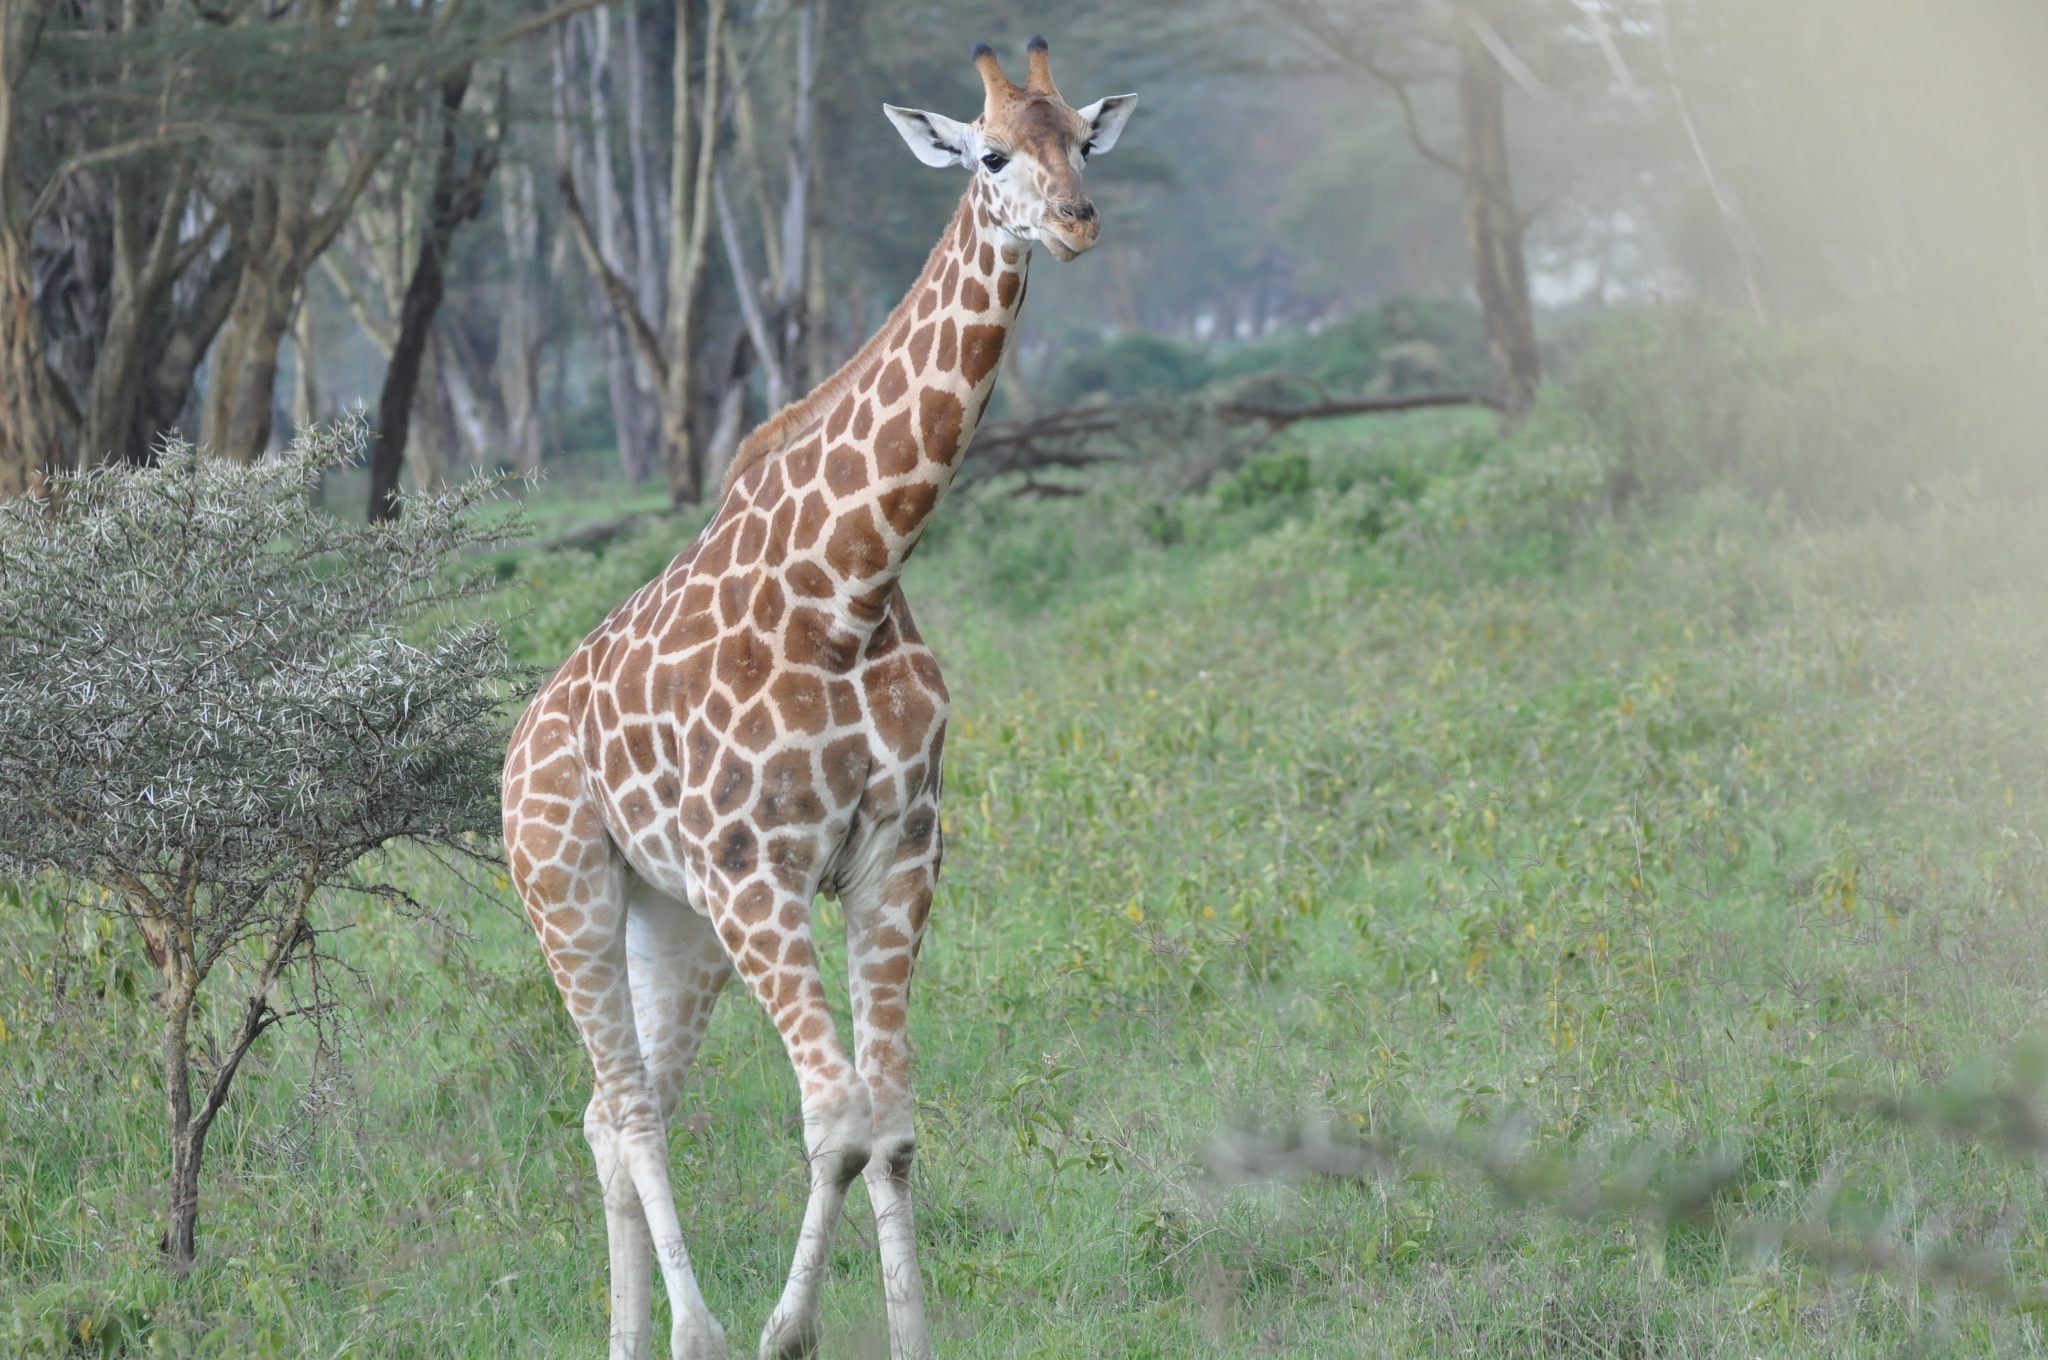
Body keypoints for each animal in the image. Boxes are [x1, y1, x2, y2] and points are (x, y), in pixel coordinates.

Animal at [495, 37, 1138, 1360]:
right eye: (988, 154)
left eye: (1084, 142)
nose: (1076, 221)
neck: (848, 586)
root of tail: (518, 739)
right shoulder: (760, 870)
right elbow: (834, 1117)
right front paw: (782, 1332)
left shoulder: (897, 850)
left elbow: (887, 1124)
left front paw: (905, 1336)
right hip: (568, 888)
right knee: (630, 1109)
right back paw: (691, 1332)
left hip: (671, 916)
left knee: (607, 1110)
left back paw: (631, 1337)